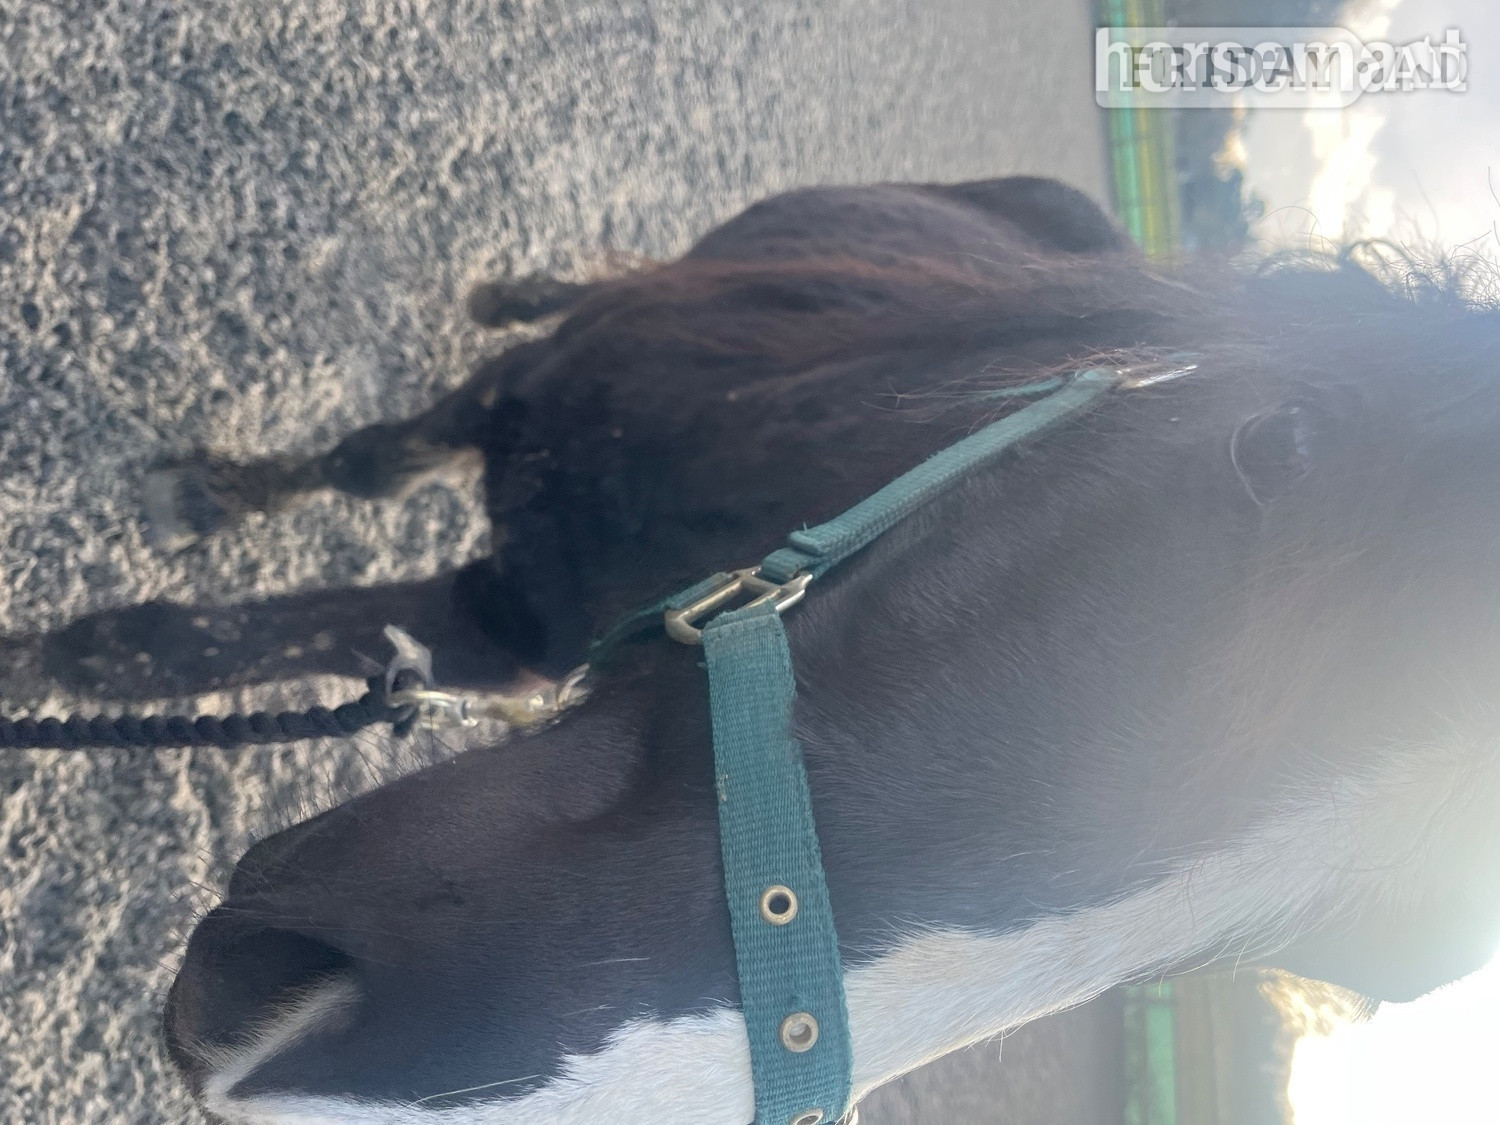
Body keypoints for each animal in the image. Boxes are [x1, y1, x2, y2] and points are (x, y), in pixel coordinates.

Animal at [28, 175, 1500, 1121]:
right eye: (1281, 449)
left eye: (1363, 959)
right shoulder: (520, 425)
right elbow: (356, 478)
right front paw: (155, 563)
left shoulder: (501, 642)